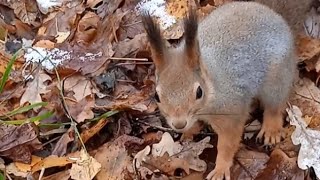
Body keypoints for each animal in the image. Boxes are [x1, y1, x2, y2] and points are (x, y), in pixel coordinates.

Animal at [142, 0, 312, 180]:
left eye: (199, 92)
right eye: (156, 96)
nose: (179, 124)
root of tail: (274, 14)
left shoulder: (231, 113)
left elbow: (227, 144)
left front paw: (220, 169)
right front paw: (189, 131)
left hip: (276, 79)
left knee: (275, 106)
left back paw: (271, 129)